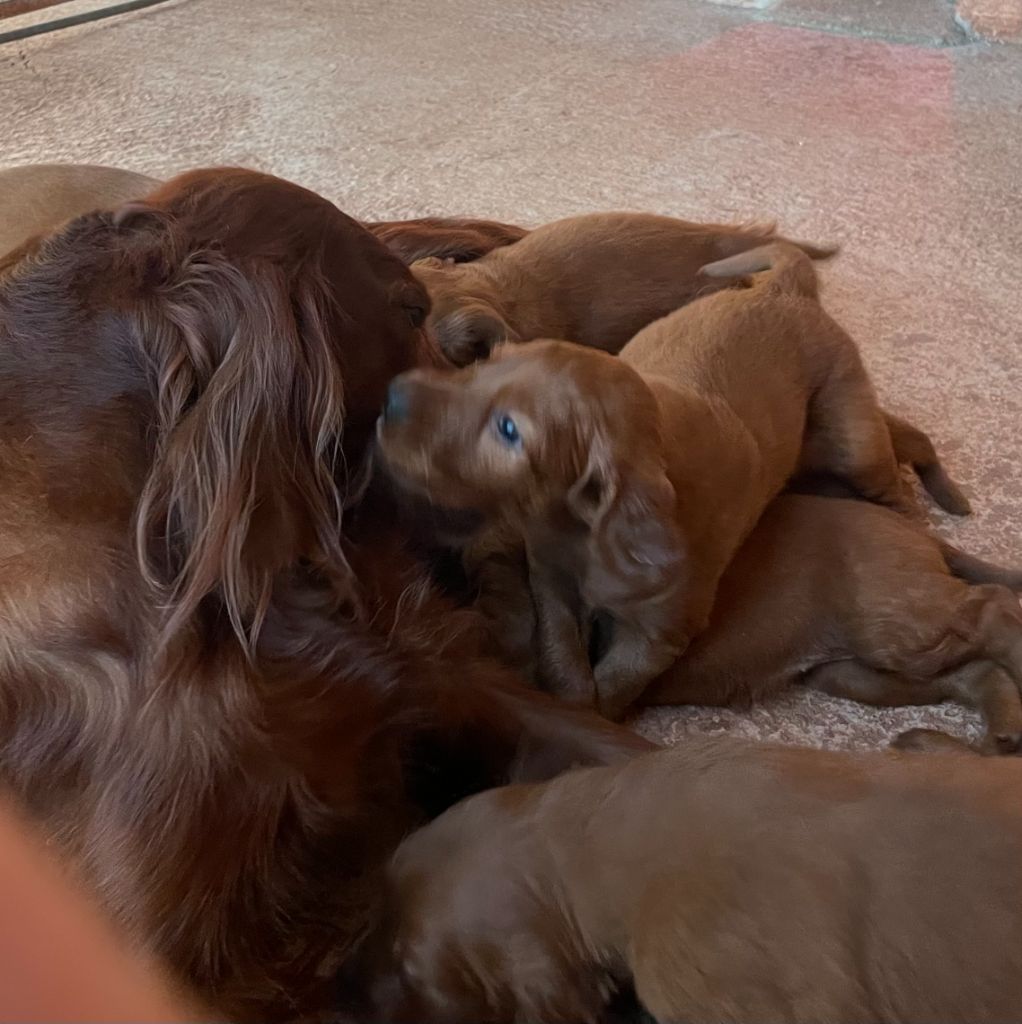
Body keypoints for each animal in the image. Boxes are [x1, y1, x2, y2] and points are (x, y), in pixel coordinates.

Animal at [376, 244, 913, 720]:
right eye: (476, 370)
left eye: (509, 430)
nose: (392, 397)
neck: (586, 528)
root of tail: (782, 289)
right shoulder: (552, 585)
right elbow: (564, 658)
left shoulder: (661, 633)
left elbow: (617, 682)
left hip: (855, 438)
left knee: (892, 485)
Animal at [643, 491, 1022, 749]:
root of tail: (918, 530)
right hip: (853, 673)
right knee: (970, 672)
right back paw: (1000, 732)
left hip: (892, 620)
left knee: (995, 603)